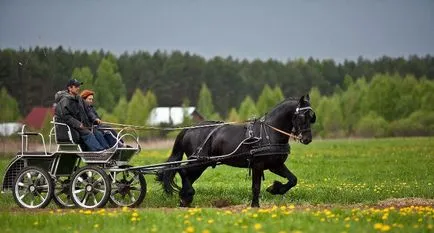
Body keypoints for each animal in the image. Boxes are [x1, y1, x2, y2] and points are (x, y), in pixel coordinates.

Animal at [156, 94, 316, 208]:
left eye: (312, 117)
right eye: (302, 116)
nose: (307, 139)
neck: (269, 133)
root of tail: (189, 129)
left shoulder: (275, 165)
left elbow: (293, 180)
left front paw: (275, 188)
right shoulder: (258, 165)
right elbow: (256, 187)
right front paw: (255, 205)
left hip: (201, 164)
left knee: (187, 176)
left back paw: (185, 199)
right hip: (198, 162)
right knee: (182, 171)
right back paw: (187, 194)